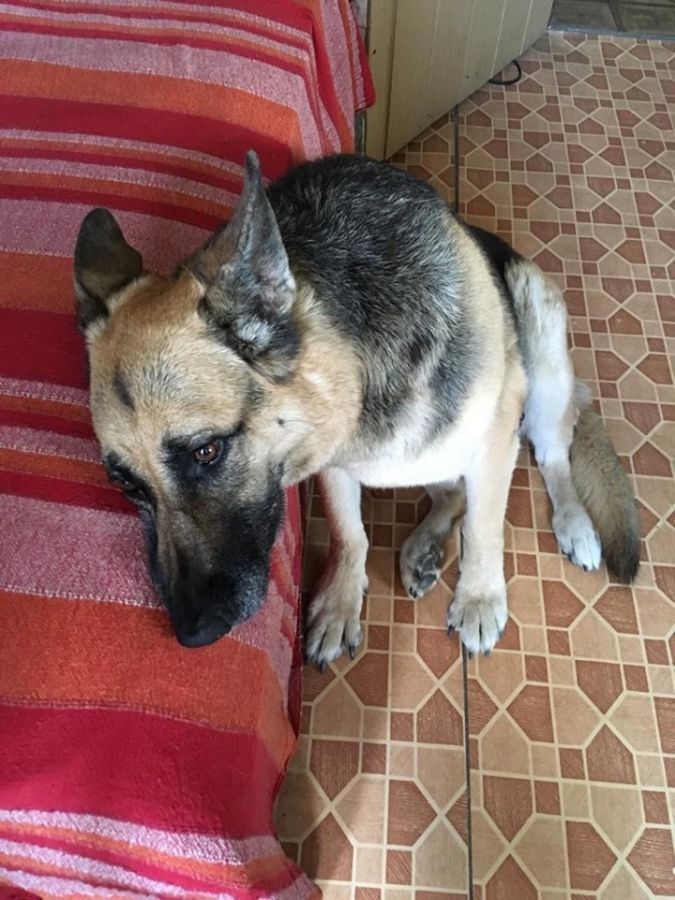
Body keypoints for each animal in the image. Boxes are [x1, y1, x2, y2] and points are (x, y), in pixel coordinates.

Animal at [73, 152, 640, 665]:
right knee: (451, 493)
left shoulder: (494, 438)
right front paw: (342, 600)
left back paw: (574, 523)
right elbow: (351, 534)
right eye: (126, 485)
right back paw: (424, 546)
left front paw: (480, 596)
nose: (193, 634)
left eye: (207, 451)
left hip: (540, 364)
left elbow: (484, 529)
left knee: (550, 458)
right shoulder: (330, 460)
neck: (358, 378)